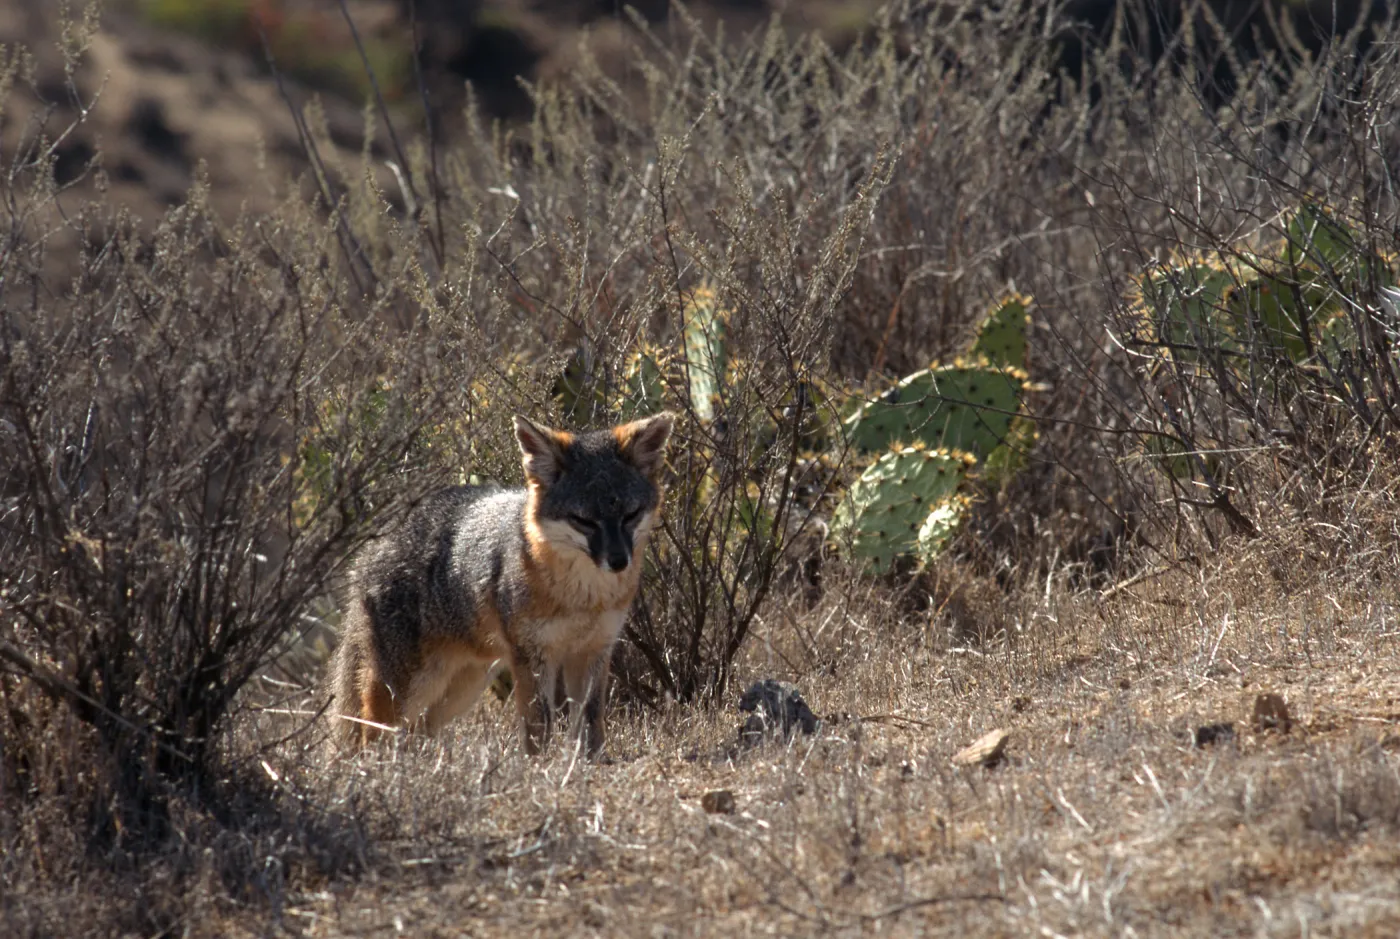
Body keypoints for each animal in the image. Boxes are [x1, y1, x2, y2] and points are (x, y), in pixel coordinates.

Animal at [327, 411, 674, 758]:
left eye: (630, 515)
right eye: (584, 521)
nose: (618, 561)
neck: (583, 598)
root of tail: (372, 548)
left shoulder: (594, 650)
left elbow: (589, 723)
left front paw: (591, 762)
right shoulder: (533, 656)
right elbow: (539, 724)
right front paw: (540, 765)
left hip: (461, 688)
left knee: (415, 733)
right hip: (409, 688)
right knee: (370, 733)